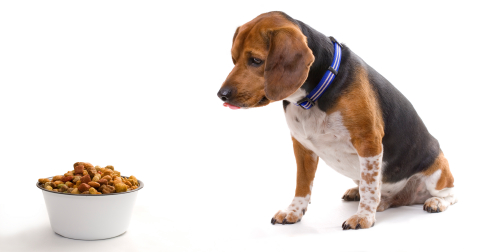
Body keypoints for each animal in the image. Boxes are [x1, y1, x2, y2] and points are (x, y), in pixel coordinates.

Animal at [218, 10, 456, 229]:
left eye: (256, 61)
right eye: (234, 59)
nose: (222, 95)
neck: (314, 97)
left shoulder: (369, 142)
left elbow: (370, 187)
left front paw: (363, 217)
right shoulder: (302, 146)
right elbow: (302, 184)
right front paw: (293, 211)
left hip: (437, 172)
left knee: (451, 195)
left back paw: (435, 202)